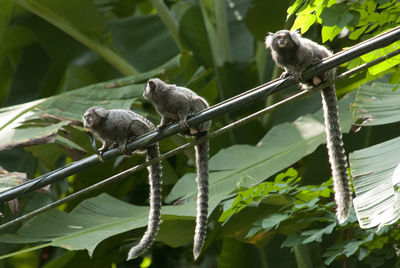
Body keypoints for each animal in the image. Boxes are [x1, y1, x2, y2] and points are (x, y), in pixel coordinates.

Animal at [82, 107, 163, 260]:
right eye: (85, 117)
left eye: (89, 115)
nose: (86, 120)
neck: (101, 124)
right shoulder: (103, 135)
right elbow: (107, 142)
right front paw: (103, 149)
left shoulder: (114, 123)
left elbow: (121, 130)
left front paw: (124, 142)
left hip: (143, 130)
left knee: (133, 124)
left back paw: (132, 140)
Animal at [144, 78, 212, 258]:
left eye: (146, 87)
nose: (143, 92)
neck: (160, 98)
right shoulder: (162, 110)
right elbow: (165, 119)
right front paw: (161, 127)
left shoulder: (176, 99)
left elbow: (184, 105)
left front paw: (182, 118)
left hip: (203, 117)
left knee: (196, 103)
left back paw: (192, 120)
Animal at [268, 29, 352, 224]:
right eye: (278, 38)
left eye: (285, 37)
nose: (282, 41)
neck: (288, 54)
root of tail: (329, 79)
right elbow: (287, 68)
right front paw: (286, 73)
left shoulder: (304, 51)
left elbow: (309, 55)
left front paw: (303, 68)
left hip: (327, 69)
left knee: (320, 58)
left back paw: (315, 69)